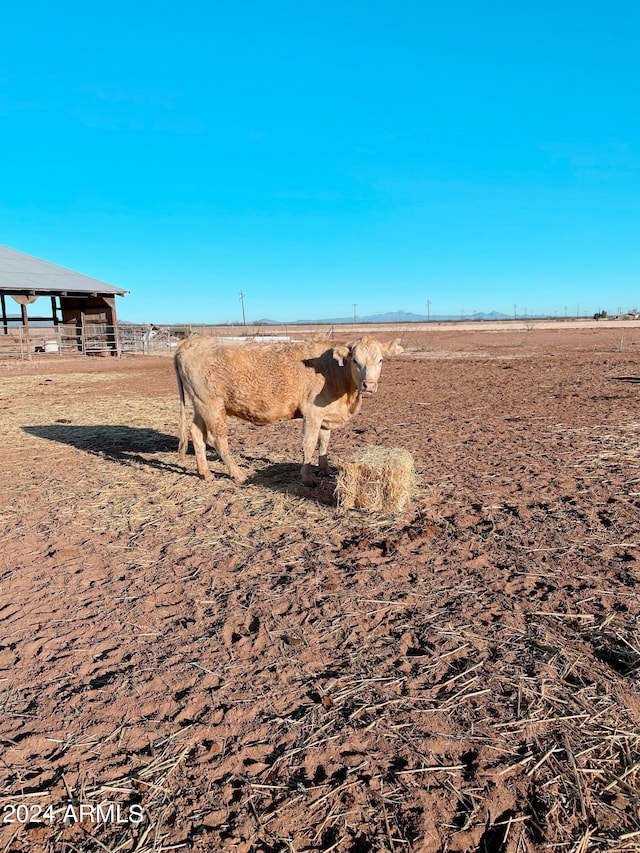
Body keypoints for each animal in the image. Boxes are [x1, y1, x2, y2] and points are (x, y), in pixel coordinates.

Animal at [172, 334, 402, 482]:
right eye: (355, 360)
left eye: (380, 360)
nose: (369, 385)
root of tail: (192, 341)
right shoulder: (312, 412)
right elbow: (309, 444)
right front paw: (307, 478)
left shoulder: (326, 416)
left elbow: (324, 443)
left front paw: (325, 470)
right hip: (212, 405)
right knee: (218, 440)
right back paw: (238, 475)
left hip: (200, 404)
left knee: (196, 434)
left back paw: (206, 473)